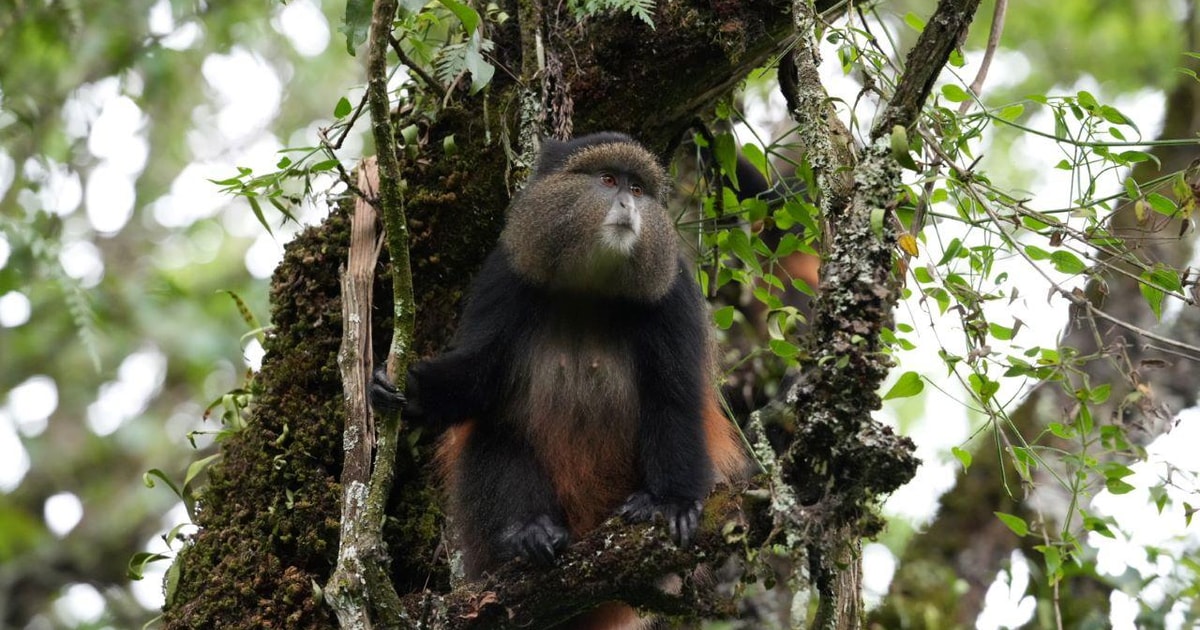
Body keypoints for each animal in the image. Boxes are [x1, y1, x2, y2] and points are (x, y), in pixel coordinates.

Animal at [372, 132, 748, 629]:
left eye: (638, 188)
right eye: (607, 180)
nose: (628, 203)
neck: (590, 285)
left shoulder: (674, 291)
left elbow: (675, 397)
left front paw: (672, 503)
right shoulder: (505, 274)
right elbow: (480, 375)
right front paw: (411, 392)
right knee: (494, 433)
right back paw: (527, 533)